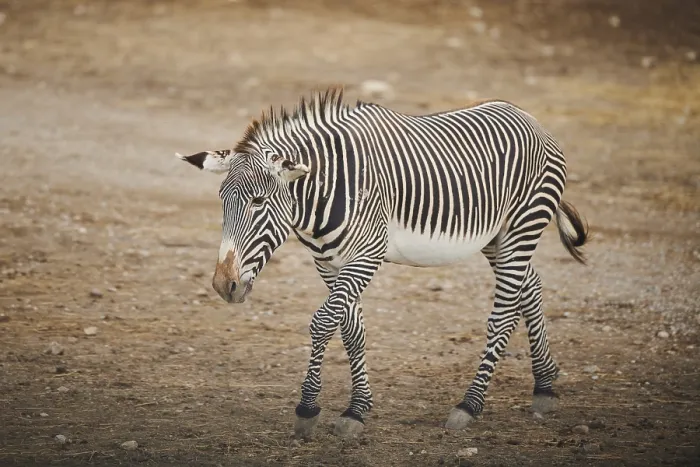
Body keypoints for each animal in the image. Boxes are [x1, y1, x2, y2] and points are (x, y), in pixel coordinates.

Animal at [177, 88, 589, 439]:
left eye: (259, 202)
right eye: (221, 201)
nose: (224, 285)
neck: (321, 197)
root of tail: (528, 116)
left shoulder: (367, 255)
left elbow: (323, 322)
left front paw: (308, 410)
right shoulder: (328, 262)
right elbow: (351, 330)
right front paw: (357, 409)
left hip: (522, 225)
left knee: (503, 313)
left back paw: (470, 405)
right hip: (496, 238)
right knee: (529, 286)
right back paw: (544, 386)